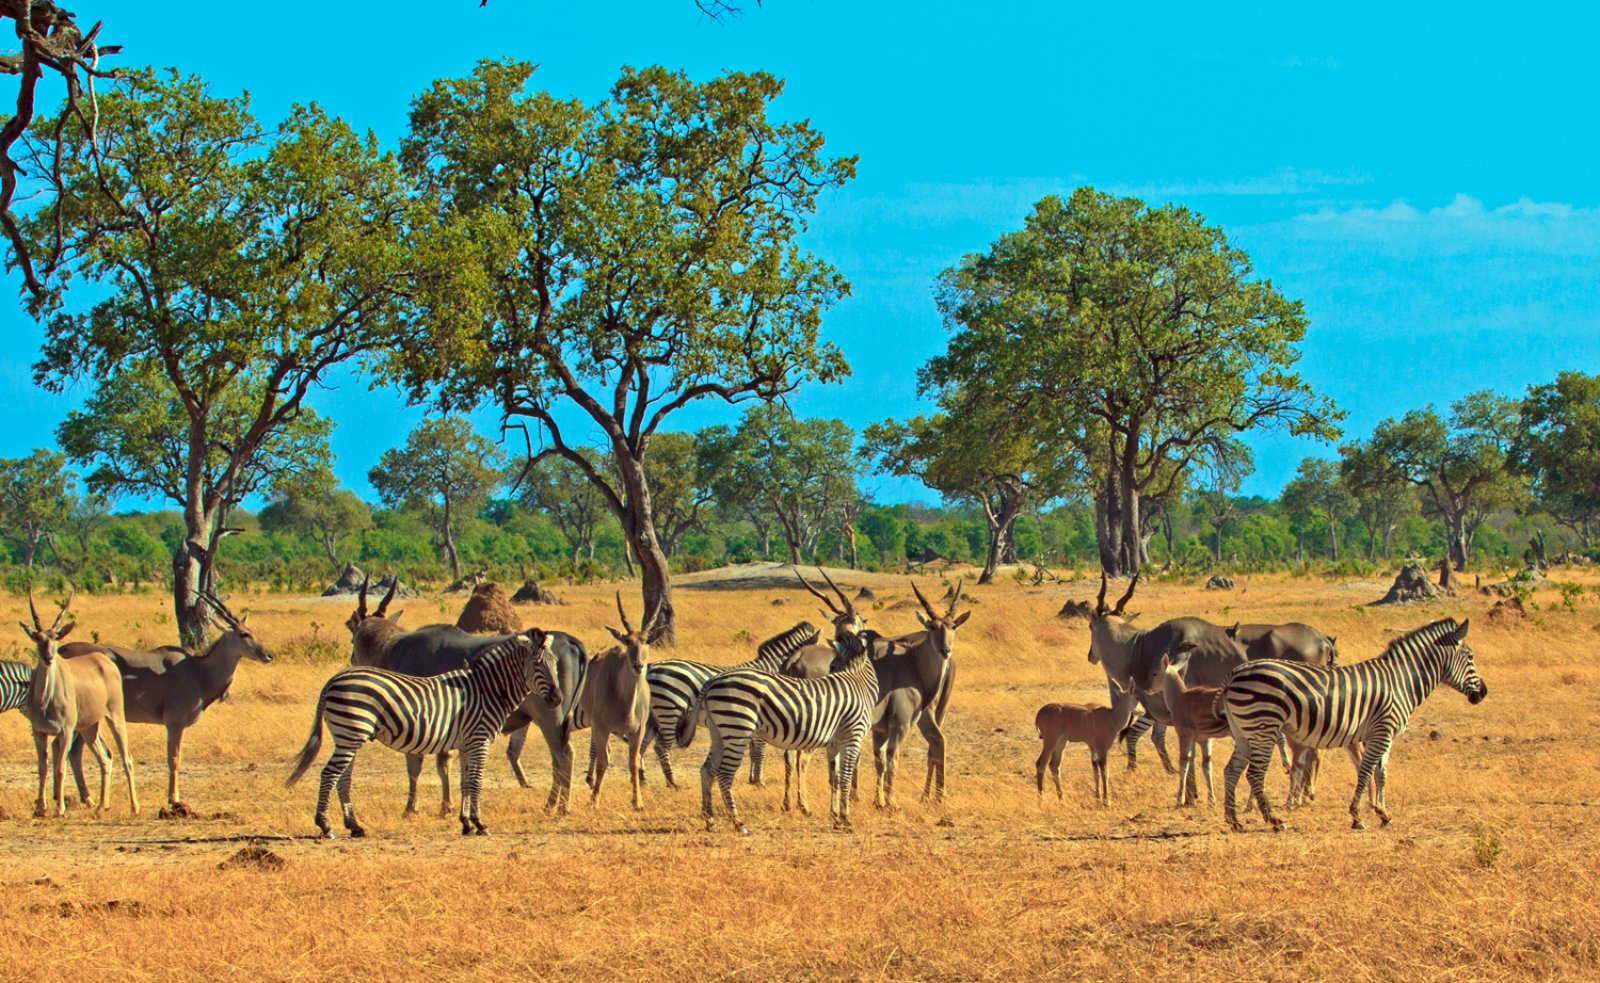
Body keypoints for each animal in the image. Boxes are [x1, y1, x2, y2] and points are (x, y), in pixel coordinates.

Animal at [17, 589, 139, 819]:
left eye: (56, 638)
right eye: (38, 637)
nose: (48, 657)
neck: (46, 700)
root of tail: (106, 662)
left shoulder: (65, 731)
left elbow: (60, 767)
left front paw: (60, 809)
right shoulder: (38, 732)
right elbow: (43, 767)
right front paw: (40, 808)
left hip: (115, 717)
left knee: (126, 757)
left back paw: (134, 807)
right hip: (90, 728)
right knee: (105, 757)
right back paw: (101, 806)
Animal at [284, 630, 560, 838]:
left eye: (556, 664)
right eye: (537, 664)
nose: (557, 699)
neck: (488, 690)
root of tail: (333, 680)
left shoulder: (466, 743)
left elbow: (465, 783)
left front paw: (466, 823)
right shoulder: (479, 740)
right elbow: (476, 782)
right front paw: (480, 824)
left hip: (347, 736)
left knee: (343, 778)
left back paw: (354, 827)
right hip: (350, 734)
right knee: (329, 774)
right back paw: (325, 826)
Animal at [675, 630, 876, 832]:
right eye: (831, 666)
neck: (859, 682)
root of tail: (713, 680)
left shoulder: (834, 742)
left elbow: (835, 777)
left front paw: (835, 817)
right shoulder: (853, 736)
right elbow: (846, 776)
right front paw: (845, 818)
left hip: (719, 733)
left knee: (707, 770)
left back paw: (710, 821)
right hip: (738, 729)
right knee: (724, 774)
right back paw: (738, 823)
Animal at [1030, 678, 1145, 810]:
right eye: (1137, 697)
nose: (1143, 711)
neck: (1112, 718)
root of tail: (1040, 713)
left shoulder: (1093, 749)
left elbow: (1096, 772)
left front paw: (1098, 798)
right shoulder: (1102, 749)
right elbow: (1105, 773)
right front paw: (1106, 801)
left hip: (1061, 743)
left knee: (1054, 766)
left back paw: (1061, 799)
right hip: (1050, 741)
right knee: (1041, 763)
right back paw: (1041, 801)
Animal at [1222, 621, 1484, 838]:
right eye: (1471, 657)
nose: (1483, 693)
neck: (1401, 681)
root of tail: (1235, 673)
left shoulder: (1381, 734)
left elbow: (1381, 773)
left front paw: (1383, 813)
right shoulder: (1382, 731)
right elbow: (1366, 772)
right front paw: (1357, 816)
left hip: (1244, 732)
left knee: (1232, 770)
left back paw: (1233, 821)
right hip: (1263, 727)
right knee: (1254, 774)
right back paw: (1274, 821)